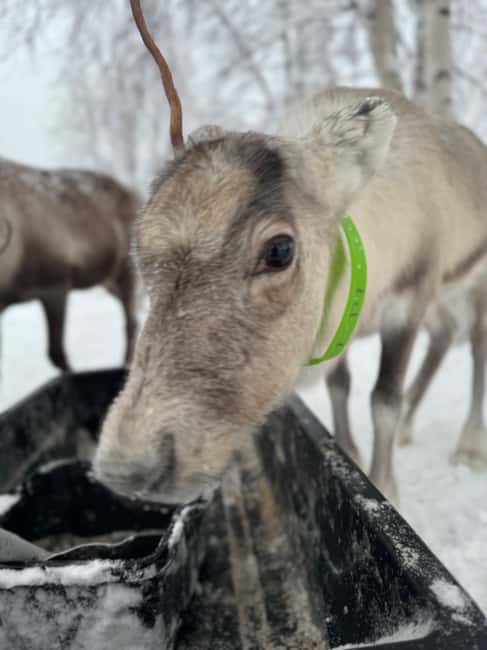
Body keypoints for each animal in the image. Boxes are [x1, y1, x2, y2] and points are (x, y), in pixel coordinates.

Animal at [0, 158, 139, 371]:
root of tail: (132, 193)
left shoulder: (56, 285)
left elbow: (57, 354)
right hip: (107, 281)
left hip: (126, 269)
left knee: (131, 320)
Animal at [94, 0, 487, 504]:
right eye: (140, 252)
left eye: (279, 250)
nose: (128, 468)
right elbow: (341, 384)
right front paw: (351, 448)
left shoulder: (412, 298)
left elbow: (384, 400)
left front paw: (386, 485)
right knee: (443, 339)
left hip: (471, 286)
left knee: (475, 351)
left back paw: (468, 448)